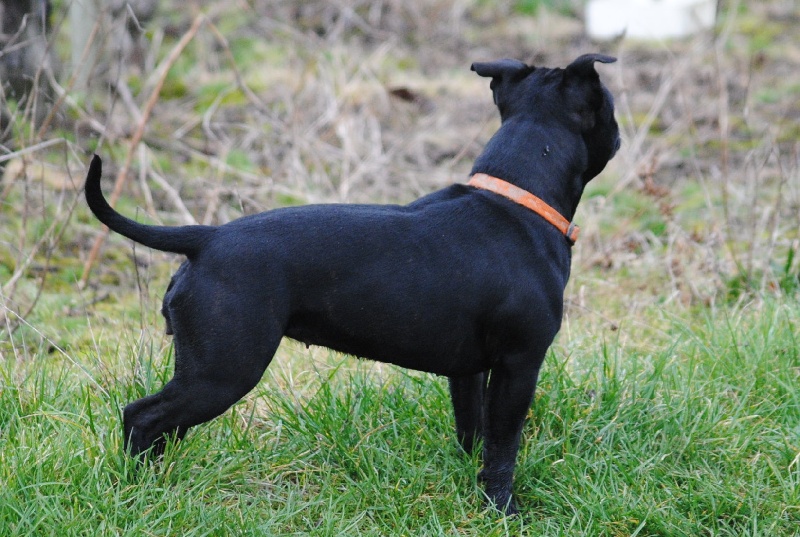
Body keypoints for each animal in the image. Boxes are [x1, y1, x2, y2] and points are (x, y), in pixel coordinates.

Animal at [84, 53, 620, 515]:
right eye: (608, 106)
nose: (619, 131)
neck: (516, 198)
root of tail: (206, 238)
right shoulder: (520, 365)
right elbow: (504, 446)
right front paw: (503, 510)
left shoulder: (468, 372)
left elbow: (475, 432)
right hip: (223, 371)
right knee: (142, 417)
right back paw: (140, 488)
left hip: (205, 368)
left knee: (160, 426)